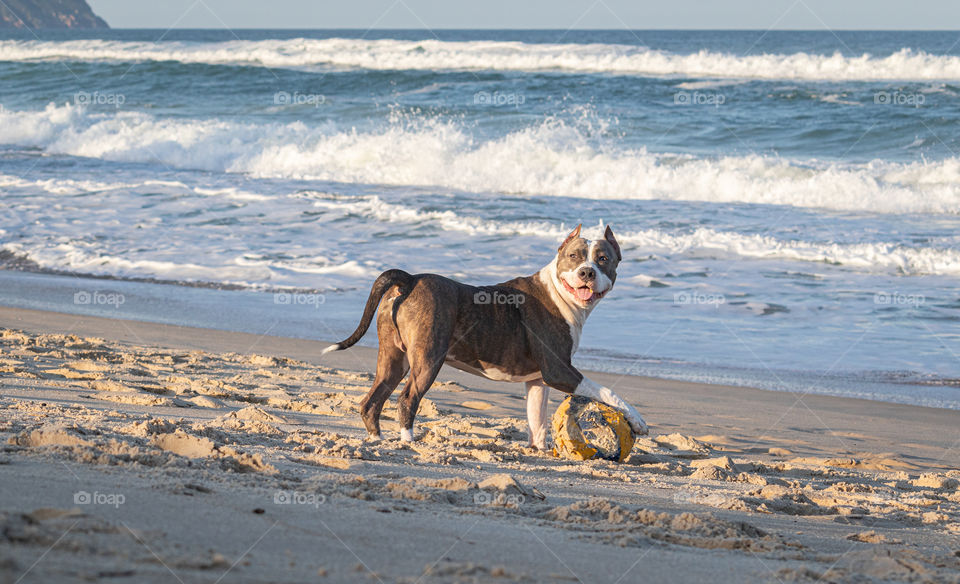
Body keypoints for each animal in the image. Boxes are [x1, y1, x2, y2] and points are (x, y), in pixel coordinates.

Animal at [326, 224, 648, 448]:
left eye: (603, 259)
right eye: (573, 257)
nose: (586, 273)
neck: (560, 293)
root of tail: (410, 279)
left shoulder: (538, 380)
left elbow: (537, 421)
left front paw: (538, 450)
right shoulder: (560, 371)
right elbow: (607, 391)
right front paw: (637, 420)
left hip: (394, 358)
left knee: (372, 401)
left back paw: (376, 441)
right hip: (428, 359)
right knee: (407, 399)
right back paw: (409, 441)